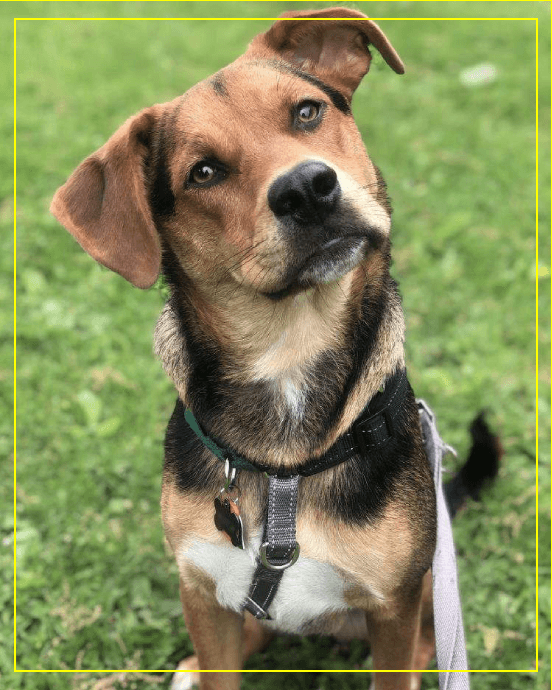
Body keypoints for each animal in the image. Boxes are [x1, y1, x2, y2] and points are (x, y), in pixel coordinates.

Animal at [51, 6, 500, 688]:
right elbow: (222, 665)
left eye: (307, 112)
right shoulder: (203, 590)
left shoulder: (395, 603)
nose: (308, 189)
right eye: (203, 172)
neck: (289, 351)